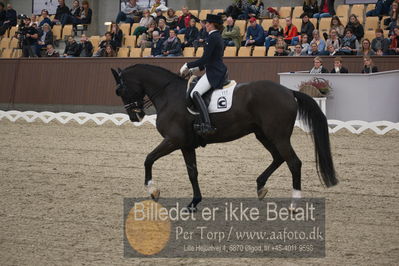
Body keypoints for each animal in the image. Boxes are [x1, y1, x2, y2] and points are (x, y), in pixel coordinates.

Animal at [111, 64, 340, 210]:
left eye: (120, 90)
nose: (135, 116)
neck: (169, 95)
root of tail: (288, 91)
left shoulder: (173, 140)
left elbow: (148, 158)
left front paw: (153, 190)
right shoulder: (186, 145)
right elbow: (192, 172)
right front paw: (194, 202)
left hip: (279, 136)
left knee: (294, 162)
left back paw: (294, 203)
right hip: (263, 134)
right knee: (278, 158)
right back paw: (260, 187)